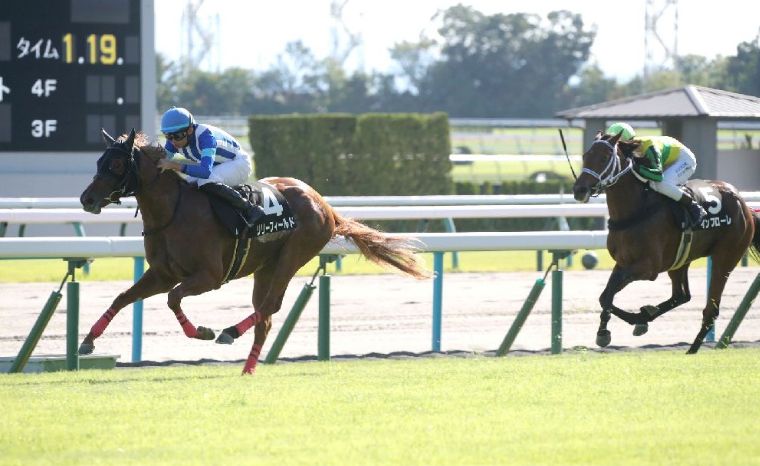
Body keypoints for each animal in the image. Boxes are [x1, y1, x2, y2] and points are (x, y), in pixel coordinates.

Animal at [79, 129, 429, 374]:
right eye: (98, 161)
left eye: (117, 163)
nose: (87, 199)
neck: (172, 212)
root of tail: (323, 203)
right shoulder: (162, 274)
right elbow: (122, 298)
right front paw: (88, 341)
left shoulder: (209, 276)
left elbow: (173, 298)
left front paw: (202, 331)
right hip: (266, 267)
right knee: (266, 315)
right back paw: (247, 367)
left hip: (294, 255)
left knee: (270, 306)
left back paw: (230, 332)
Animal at [572, 131, 760, 353]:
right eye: (585, 156)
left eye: (604, 158)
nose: (579, 189)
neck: (636, 210)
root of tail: (745, 206)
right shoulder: (623, 263)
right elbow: (605, 296)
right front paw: (610, 329)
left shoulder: (648, 268)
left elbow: (608, 296)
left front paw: (610, 330)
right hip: (680, 260)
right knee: (681, 296)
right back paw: (648, 317)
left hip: (725, 258)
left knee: (710, 309)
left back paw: (691, 350)